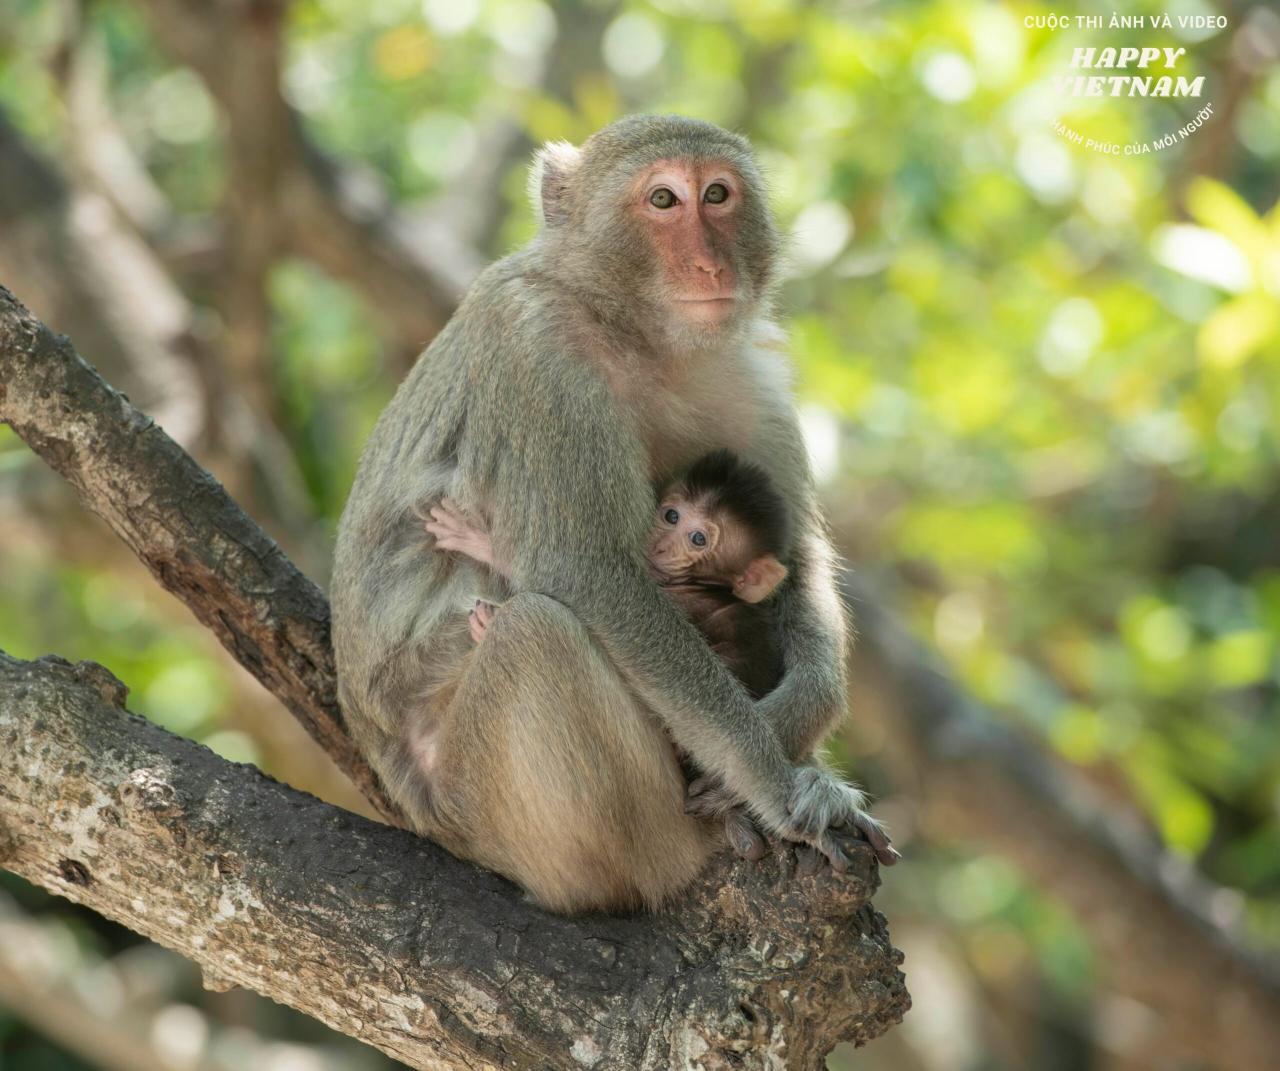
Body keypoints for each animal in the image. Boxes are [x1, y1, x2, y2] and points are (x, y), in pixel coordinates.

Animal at [330, 115, 896, 911]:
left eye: (717, 195)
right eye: (663, 199)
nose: (709, 265)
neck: (635, 332)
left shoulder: (745, 372)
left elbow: (796, 561)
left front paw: (796, 721)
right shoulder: (535, 352)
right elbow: (592, 574)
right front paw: (775, 786)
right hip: (495, 819)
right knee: (536, 634)